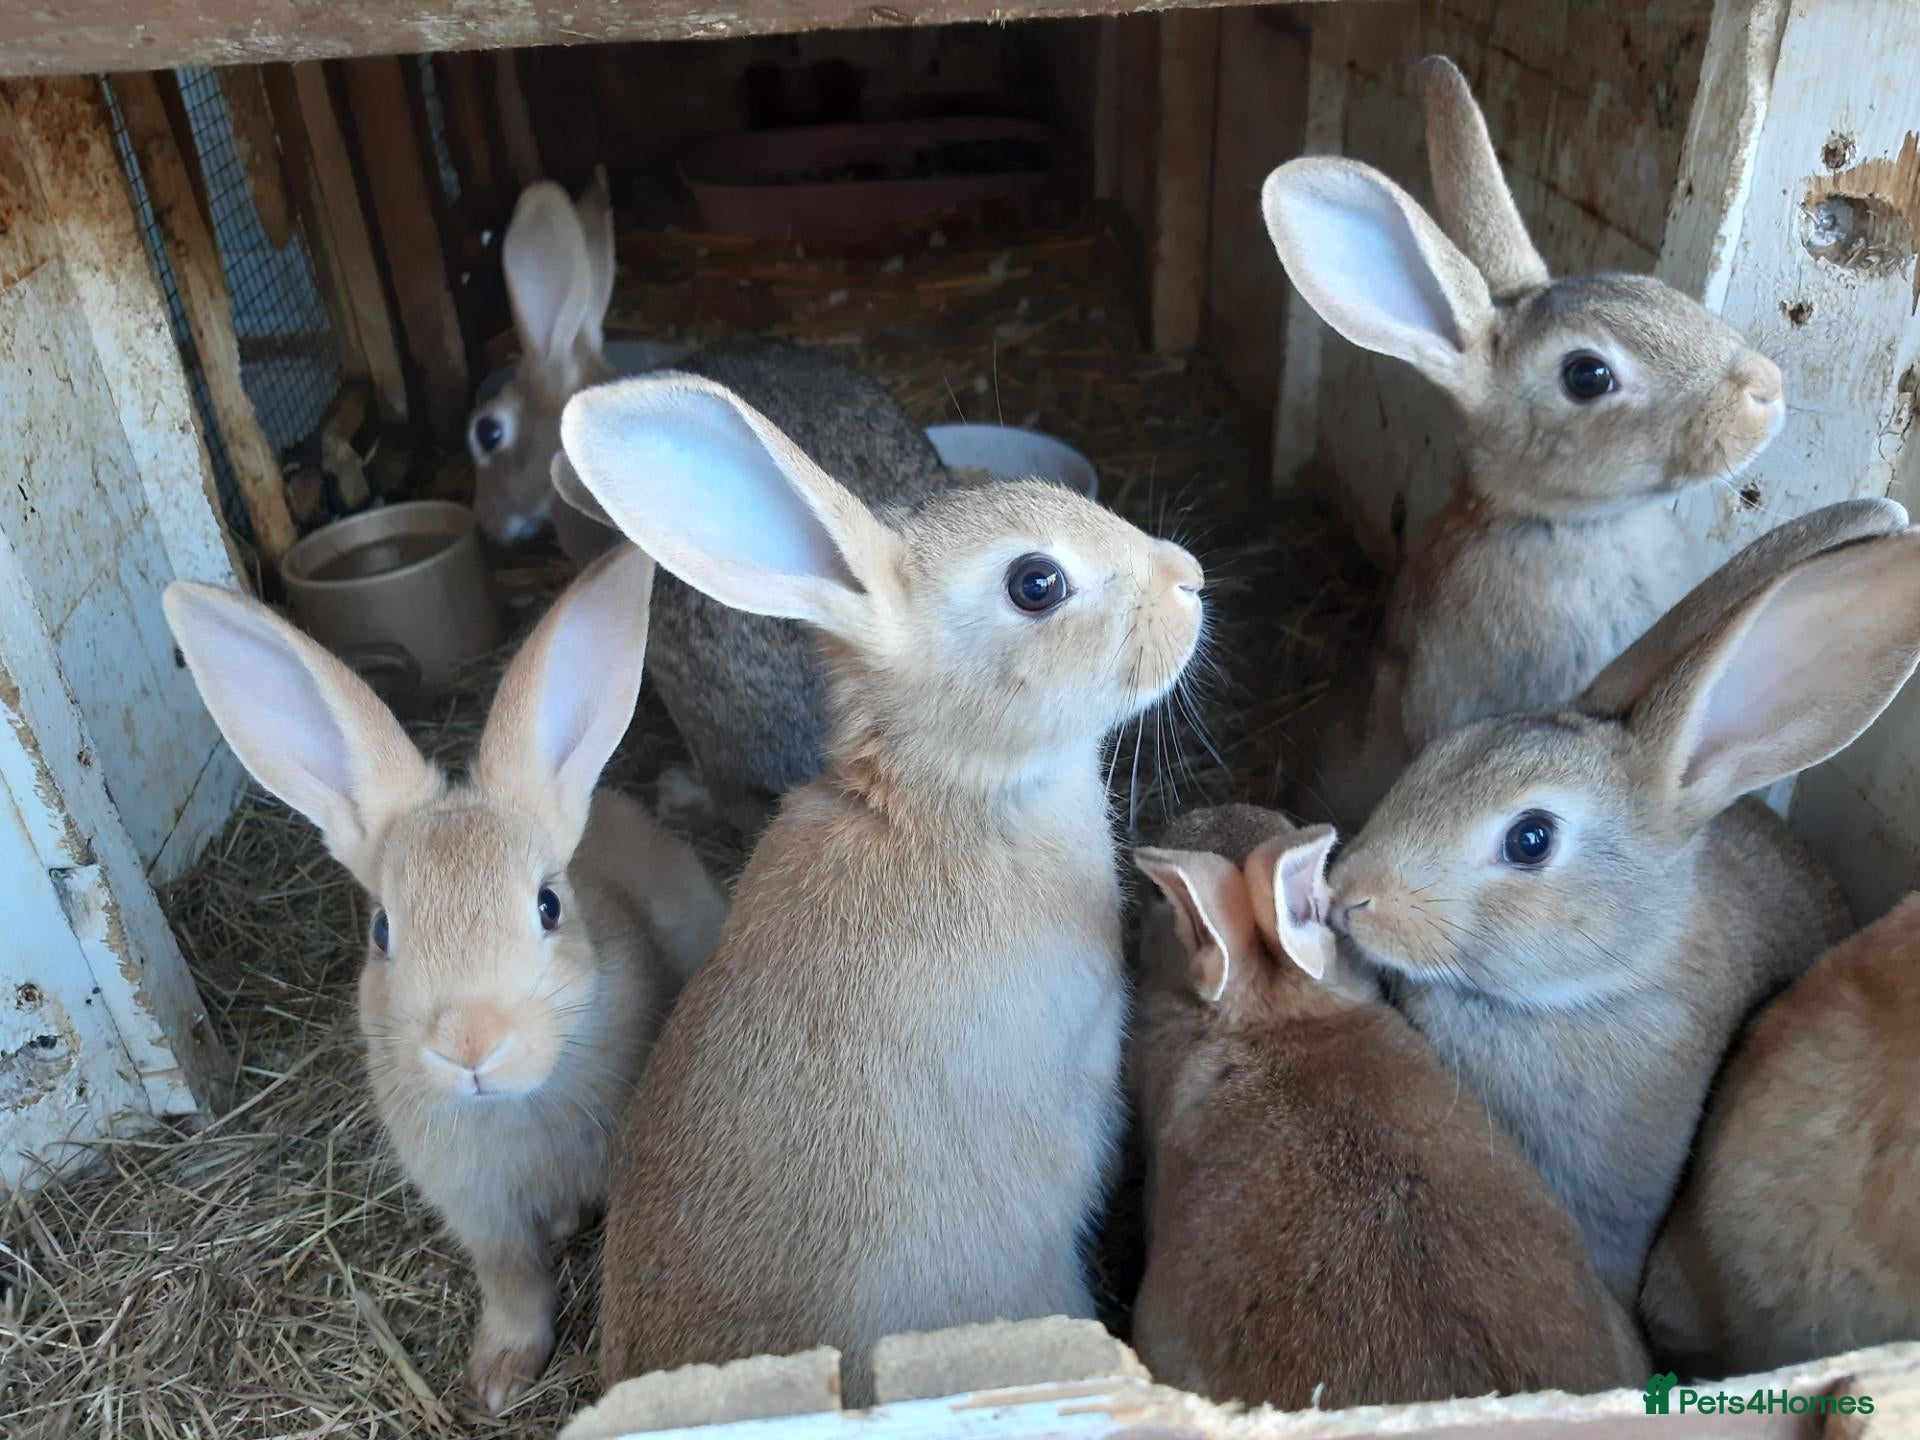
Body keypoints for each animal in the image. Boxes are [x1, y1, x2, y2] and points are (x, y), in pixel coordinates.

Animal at [162, 546, 727, 1413]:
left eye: (548, 905)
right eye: (382, 931)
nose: (471, 1047)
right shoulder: (480, 1216)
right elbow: (513, 1284)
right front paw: (497, 1378)